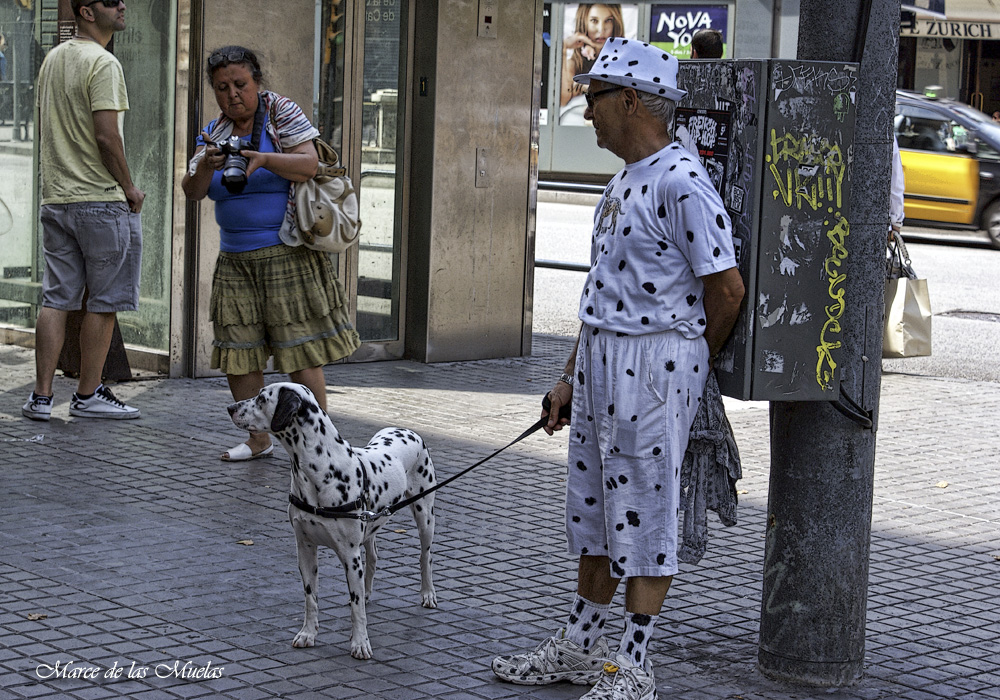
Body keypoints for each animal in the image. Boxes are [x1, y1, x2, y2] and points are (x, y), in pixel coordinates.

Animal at [229, 380, 436, 660]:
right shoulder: (305, 548)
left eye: (262, 398)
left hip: (425, 516)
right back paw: (368, 591)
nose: (230, 408)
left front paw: (360, 643)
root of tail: (408, 430)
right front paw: (308, 634)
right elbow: (311, 598)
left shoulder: (350, 556)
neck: (319, 471)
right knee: (373, 557)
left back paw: (428, 593)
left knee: (425, 557)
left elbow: (356, 610)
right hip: (370, 528)